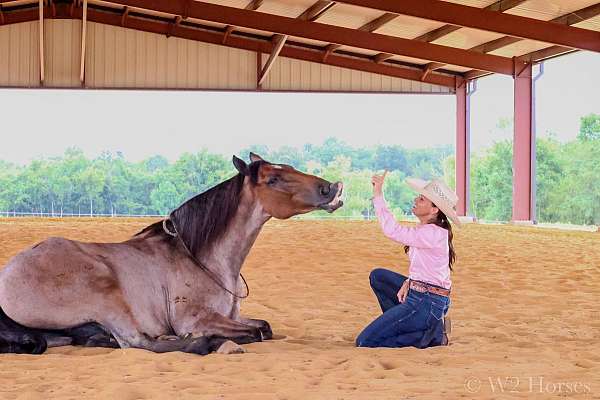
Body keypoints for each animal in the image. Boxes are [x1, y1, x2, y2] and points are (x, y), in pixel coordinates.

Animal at [0, 152, 342, 354]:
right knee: (137, 342)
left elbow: (264, 328)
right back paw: (204, 343)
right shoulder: (196, 319)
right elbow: (256, 333)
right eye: (273, 178)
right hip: (106, 292)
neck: (205, 260)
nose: (333, 188)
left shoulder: (234, 316)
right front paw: (219, 340)